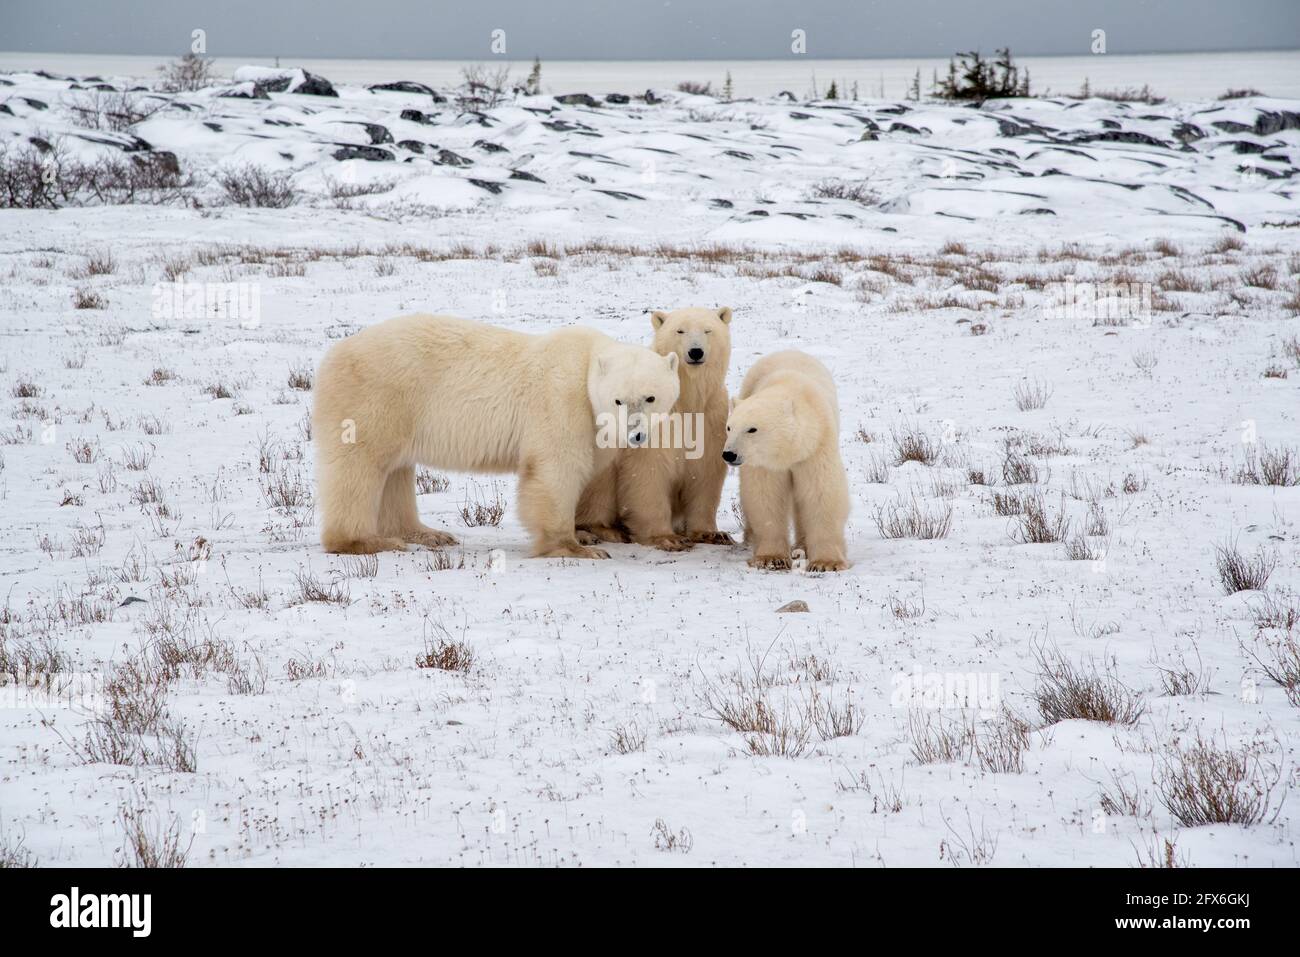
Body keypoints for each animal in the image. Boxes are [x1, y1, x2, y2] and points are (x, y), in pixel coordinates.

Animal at [312, 313, 680, 558]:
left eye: (650, 397)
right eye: (619, 399)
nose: (635, 434)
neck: (586, 361)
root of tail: (332, 355)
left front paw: (589, 535)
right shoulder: (562, 402)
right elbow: (556, 469)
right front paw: (574, 547)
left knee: (395, 471)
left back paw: (427, 534)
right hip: (375, 397)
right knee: (360, 467)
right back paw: (364, 541)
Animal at [575, 306, 735, 551]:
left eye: (708, 330)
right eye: (680, 330)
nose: (695, 352)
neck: (687, 400)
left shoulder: (711, 417)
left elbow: (705, 474)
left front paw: (712, 534)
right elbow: (649, 472)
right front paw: (668, 537)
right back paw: (601, 531)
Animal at [722, 350, 851, 572]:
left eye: (752, 429)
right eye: (729, 427)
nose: (729, 454)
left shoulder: (815, 447)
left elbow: (821, 493)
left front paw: (826, 562)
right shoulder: (765, 463)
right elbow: (765, 496)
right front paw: (770, 558)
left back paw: (802, 545)